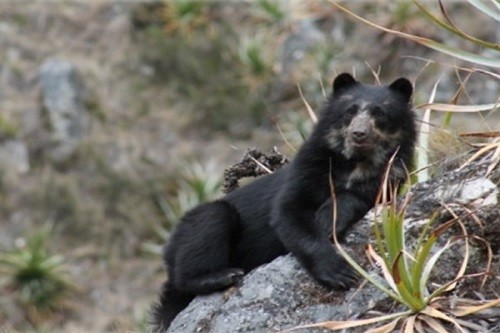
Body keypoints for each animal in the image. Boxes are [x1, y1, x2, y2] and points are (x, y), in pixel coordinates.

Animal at [150, 72, 416, 330]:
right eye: (350, 110)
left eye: (380, 113)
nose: (359, 134)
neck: (355, 163)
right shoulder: (307, 168)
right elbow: (288, 212)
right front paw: (340, 273)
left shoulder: (389, 178)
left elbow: (358, 198)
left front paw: (327, 220)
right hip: (195, 230)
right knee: (205, 233)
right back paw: (222, 276)